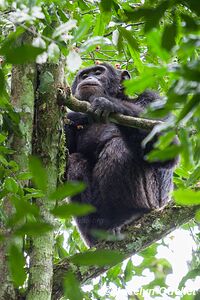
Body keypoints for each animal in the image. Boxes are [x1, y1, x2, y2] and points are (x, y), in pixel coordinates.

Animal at [64, 63, 178, 246]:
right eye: (84, 75)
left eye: (98, 72)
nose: (89, 78)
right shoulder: (72, 117)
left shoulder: (154, 100)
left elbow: (167, 148)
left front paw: (109, 104)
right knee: (75, 160)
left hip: (153, 204)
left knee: (118, 146)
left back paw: (129, 216)